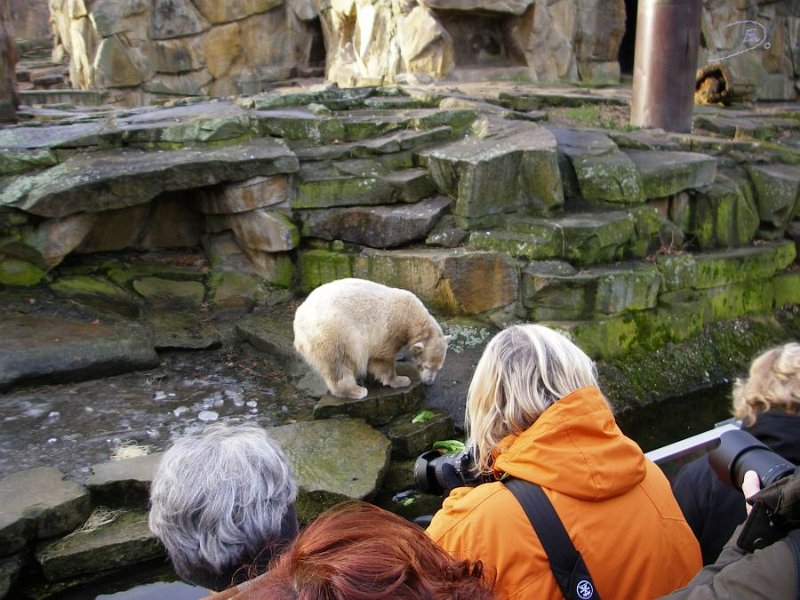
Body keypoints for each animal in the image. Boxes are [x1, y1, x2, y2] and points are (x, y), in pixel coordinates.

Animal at [290, 278, 450, 400]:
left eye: (439, 368)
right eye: (426, 366)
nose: (429, 381)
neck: (410, 316)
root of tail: (298, 322)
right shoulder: (388, 329)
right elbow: (382, 358)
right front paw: (401, 380)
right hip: (333, 332)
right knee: (339, 360)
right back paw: (356, 390)